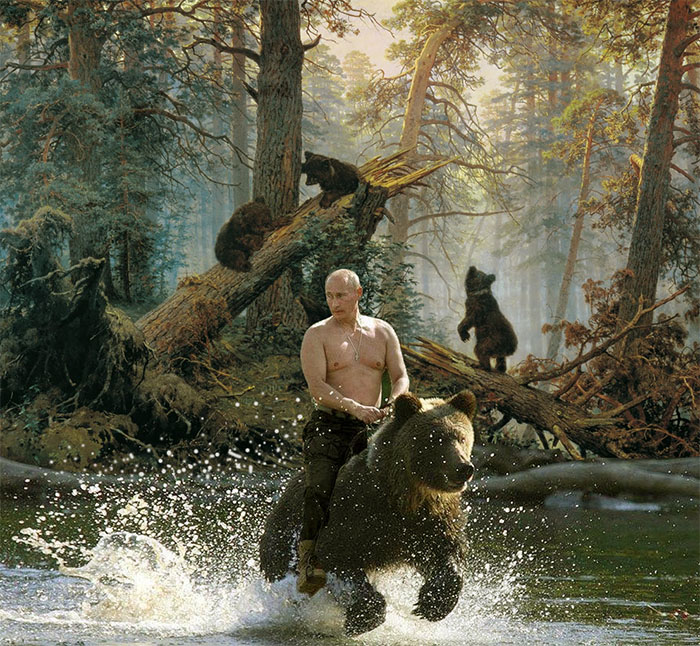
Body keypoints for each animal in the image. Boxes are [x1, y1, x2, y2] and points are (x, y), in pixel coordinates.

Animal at [259, 389, 477, 636]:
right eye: (435, 439)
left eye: (461, 437)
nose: (463, 468)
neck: (404, 494)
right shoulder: (356, 512)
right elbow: (338, 556)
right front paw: (362, 618)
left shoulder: (428, 520)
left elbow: (445, 552)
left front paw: (431, 604)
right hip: (285, 537)